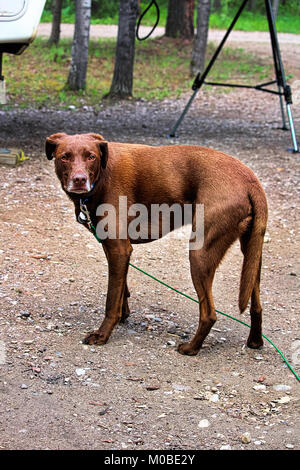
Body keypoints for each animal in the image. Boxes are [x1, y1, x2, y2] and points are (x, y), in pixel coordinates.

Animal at [45, 131, 268, 352]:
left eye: (91, 156)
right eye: (64, 157)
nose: (79, 180)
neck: (102, 175)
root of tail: (251, 180)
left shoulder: (119, 249)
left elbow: (111, 299)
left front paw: (103, 334)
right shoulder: (115, 249)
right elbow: (122, 288)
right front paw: (124, 314)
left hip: (200, 253)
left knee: (209, 314)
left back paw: (191, 348)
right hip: (252, 254)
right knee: (256, 305)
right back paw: (255, 341)